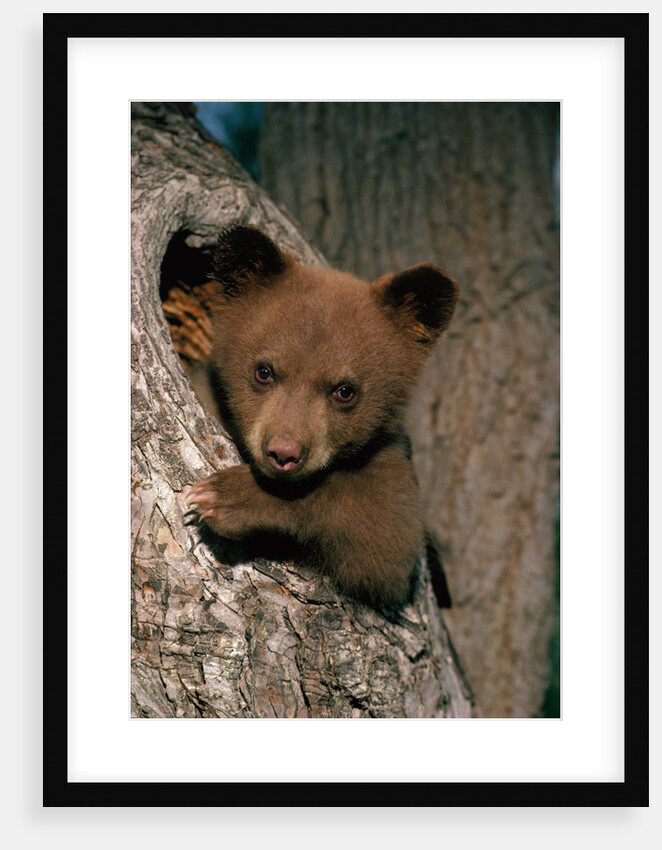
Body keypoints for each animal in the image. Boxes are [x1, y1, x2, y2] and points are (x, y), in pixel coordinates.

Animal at [186, 223, 459, 608]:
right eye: (264, 371)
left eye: (345, 390)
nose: (283, 452)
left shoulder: (391, 458)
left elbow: (386, 538)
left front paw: (225, 497)